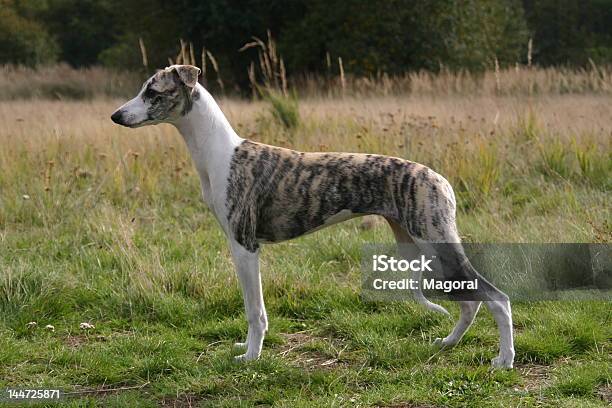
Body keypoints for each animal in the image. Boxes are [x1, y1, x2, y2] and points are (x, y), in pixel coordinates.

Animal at [111, 65, 516, 368]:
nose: (116, 116)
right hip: (423, 246)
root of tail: (440, 179)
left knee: (496, 297)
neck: (221, 154)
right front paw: (246, 350)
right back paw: (448, 343)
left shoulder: (245, 246)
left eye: (153, 92)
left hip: (436, 241)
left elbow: (255, 311)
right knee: (469, 301)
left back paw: (504, 360)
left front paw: (251, 357)